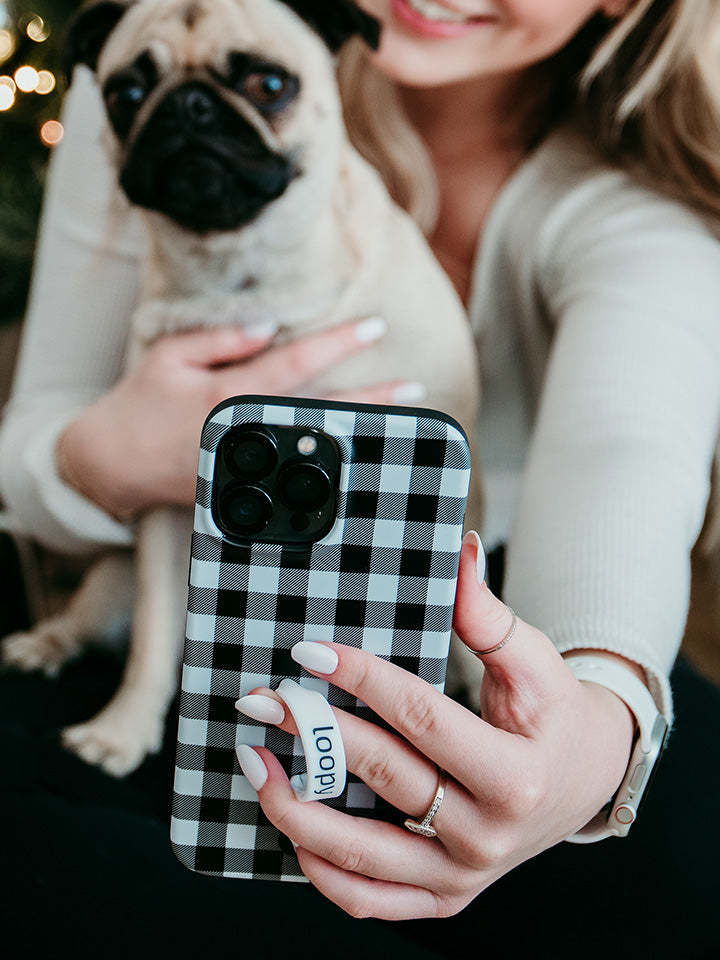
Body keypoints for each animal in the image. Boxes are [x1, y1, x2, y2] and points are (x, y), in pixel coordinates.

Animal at [2, 0, 484, 776]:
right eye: (126, 94)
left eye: (269, 84)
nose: (188, 106)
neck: (242, 274)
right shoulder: (168, 511)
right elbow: (156, 637)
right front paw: (123, 729)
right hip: (111, 580)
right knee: (90, 618)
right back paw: (43, 642)